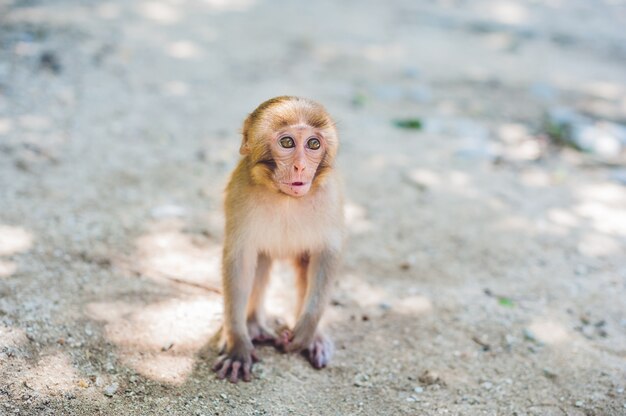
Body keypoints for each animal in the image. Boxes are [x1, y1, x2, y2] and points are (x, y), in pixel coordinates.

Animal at [212, 96, 344, 384]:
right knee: (259, 261)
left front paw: (305, 332)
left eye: (313, 144)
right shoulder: (240, 192)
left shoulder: (329, 195)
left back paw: (314, 337)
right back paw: (252, 326)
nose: (301, 166)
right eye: (287, 142)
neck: (286, 198)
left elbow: (326, 254)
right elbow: (240, 260)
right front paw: (237, 343)